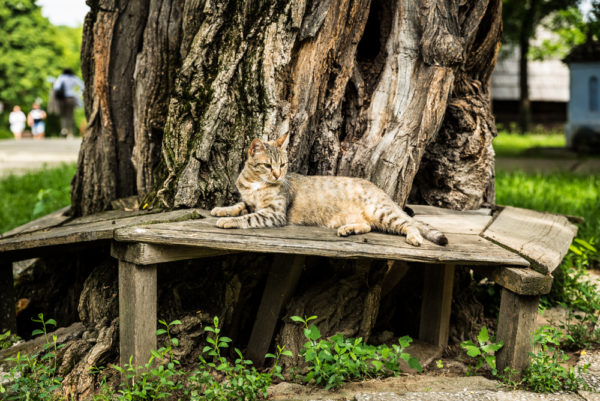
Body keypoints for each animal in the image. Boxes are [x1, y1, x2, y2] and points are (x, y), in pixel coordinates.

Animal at [209, 134, 448, 245]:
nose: (277, 175)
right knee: (368, 226)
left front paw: (229, 221)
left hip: (382, 212)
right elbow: (239, 205)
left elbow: (248, 218)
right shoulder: (250, 202)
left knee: (410, 224)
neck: (255, 183)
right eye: (268, 166)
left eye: (283, 165)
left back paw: (415, 238)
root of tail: (384, 194)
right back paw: (348, 229)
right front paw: (222, 210)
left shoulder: (274, 213)